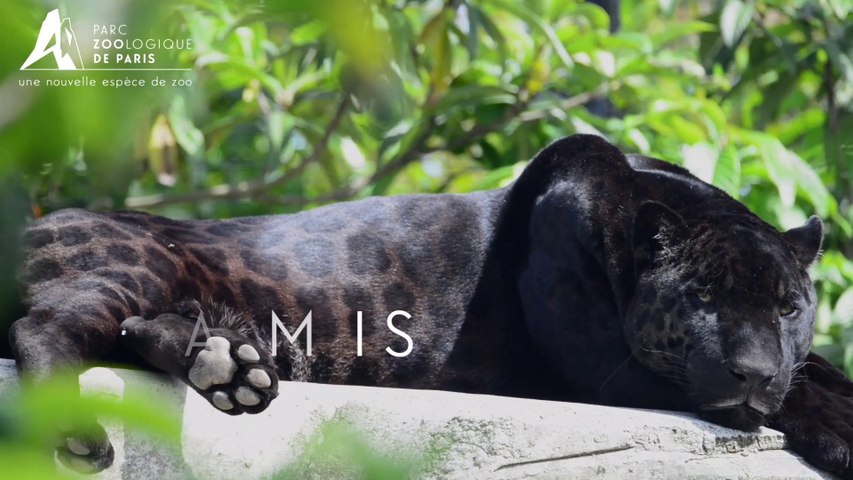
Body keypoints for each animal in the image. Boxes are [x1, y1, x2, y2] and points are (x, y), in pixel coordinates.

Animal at [7, 134, 853, 477]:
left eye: (787, 308)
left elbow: (818, 368)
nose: (752, 369)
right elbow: (793, 390)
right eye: (704, 298)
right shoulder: (608, 372)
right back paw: (82, 435)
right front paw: (836, 432)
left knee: (135, 332)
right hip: (134, 261)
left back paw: (230, 370)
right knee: (43, 325)